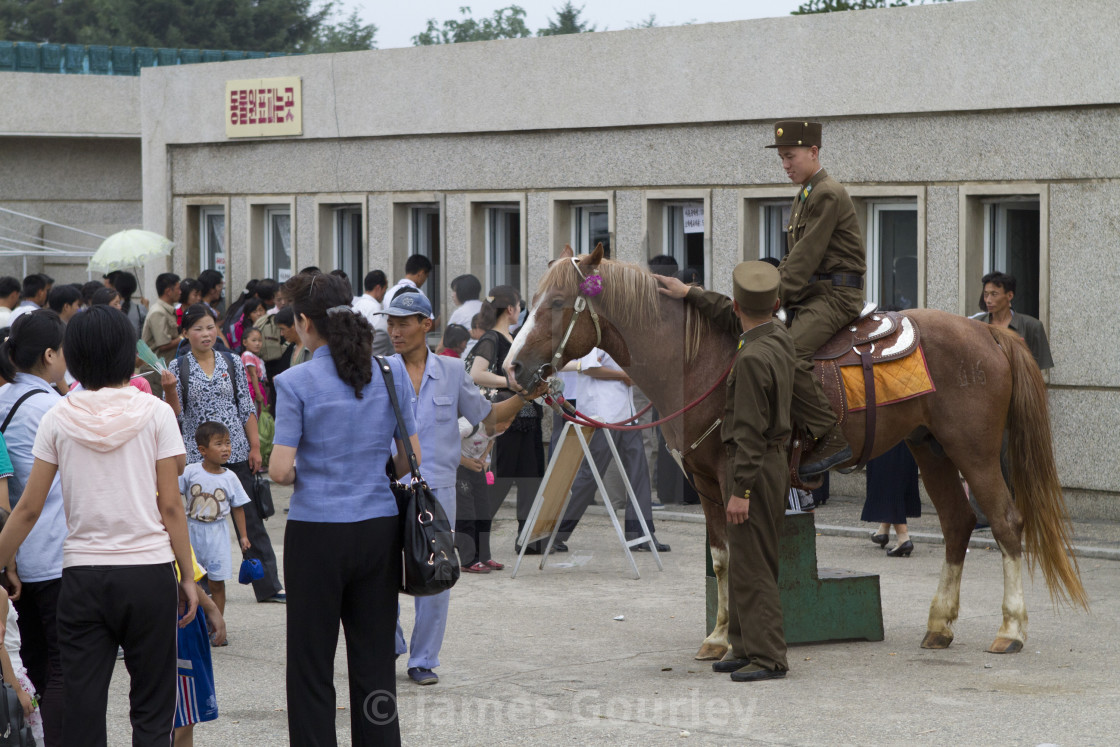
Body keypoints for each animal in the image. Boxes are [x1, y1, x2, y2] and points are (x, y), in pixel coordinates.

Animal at [508, 245, 1084, 658]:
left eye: (556, 304)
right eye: (532, 302)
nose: (513, 367)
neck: (702, 360)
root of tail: (987, 333)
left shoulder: (733, 474)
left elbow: (740, 555)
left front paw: (738, 638)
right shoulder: (705, 481)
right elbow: (721, 558)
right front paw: (718, 637)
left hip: (976, 451)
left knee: (1006, 523)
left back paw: (1011, 629)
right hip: (932, 449)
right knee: (958, 523)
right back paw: (939, 625)